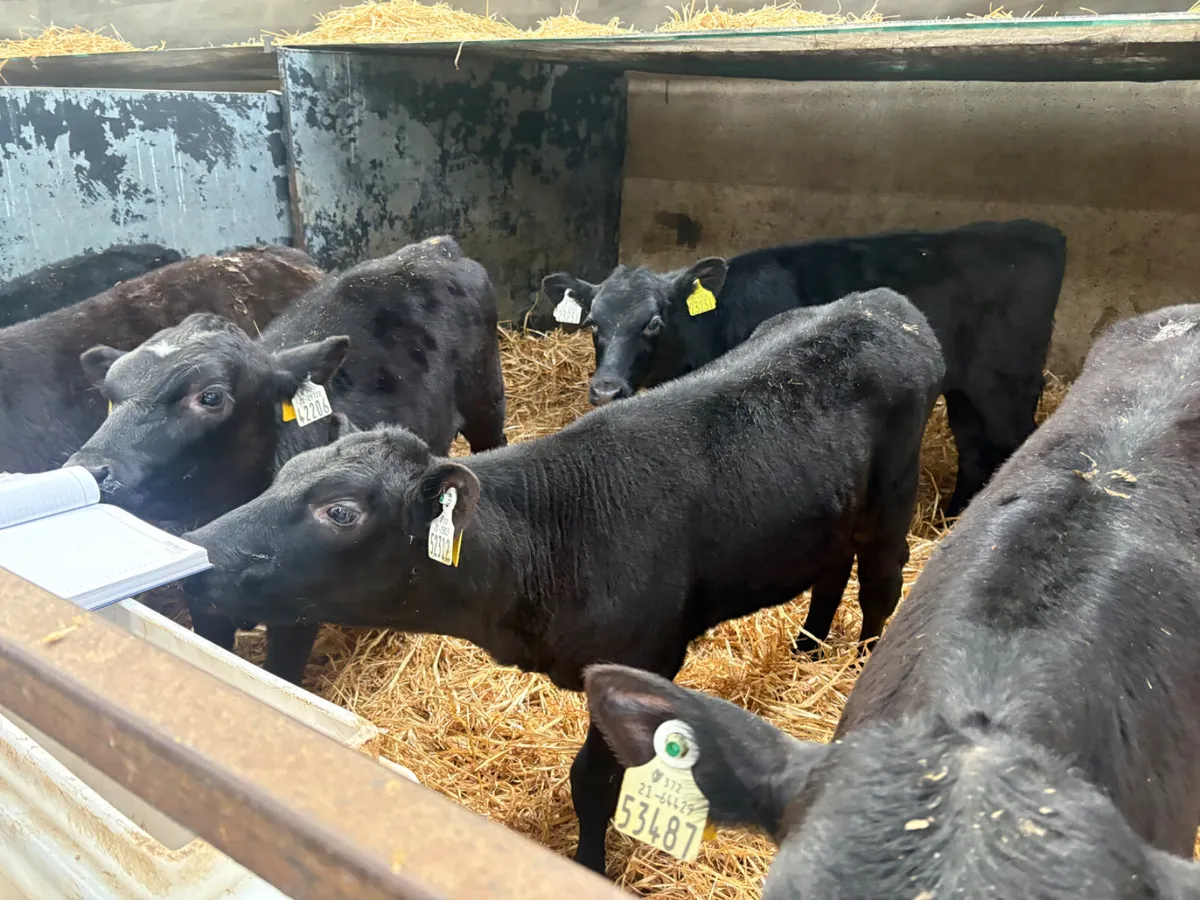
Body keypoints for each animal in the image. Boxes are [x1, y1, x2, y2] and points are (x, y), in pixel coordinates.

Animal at [67, 236, 508, 684]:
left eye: (210, 396)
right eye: (110, 394)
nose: (89, 469)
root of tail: (432, 247)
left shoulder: (297, 613)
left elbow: (281, 672)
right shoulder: (205, 604)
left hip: (486, 398)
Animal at [178, 287, 945, 876]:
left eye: (340, 511)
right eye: (282, 474)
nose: (199, 552)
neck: (546, 540)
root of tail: (885, 303)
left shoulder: (642, 657)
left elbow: (594, 784)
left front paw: (590, 865)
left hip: (892, 494)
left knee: (881, 579)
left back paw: (859, 659)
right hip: (830, 509)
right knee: (832, 566)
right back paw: (809, 646)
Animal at [542, 219, 1066, 518]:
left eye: (653, 322)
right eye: (593, 322)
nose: (606, 391)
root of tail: (1040, 230)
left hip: (1007, 385)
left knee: (1010, 441)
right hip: (967, 390)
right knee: (974, 447)